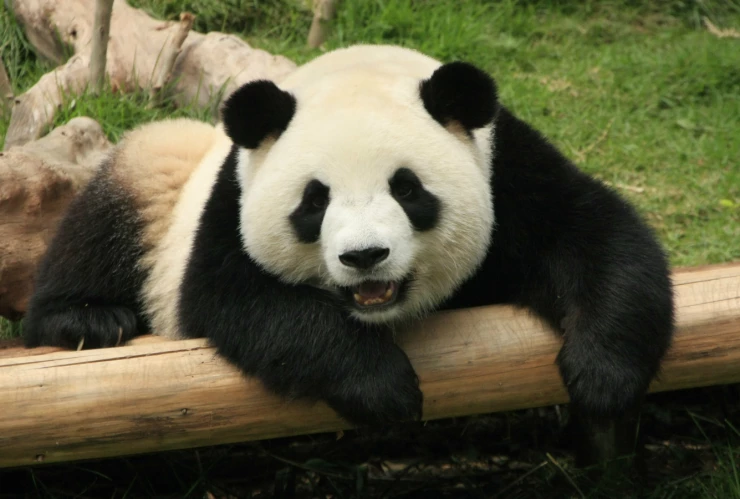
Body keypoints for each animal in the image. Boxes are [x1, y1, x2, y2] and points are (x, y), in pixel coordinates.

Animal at [23, 45, 674, 442]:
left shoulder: (507, 171)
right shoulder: (229, 203)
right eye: (315, 201)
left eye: (407, 189)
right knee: (119, 200)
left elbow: (594, 234)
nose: (365, 257)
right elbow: (241, 301)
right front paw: (384, 389)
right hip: (164, 180)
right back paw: (87, 319)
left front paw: (603, 378)